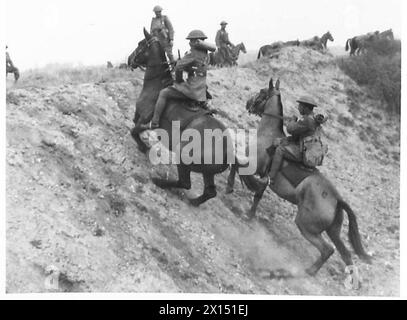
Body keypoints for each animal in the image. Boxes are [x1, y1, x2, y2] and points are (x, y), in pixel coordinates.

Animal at [129, 28, 234, 208]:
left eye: (141, 44)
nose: (130, 60)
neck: (157, 84)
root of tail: (229, 151)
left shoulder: (144, 119)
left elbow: (134, 131)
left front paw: (143, 146)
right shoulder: (139, 117)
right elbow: (134, 127)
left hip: (183, 158)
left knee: (185, 182)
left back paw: (160, 182)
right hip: (207, 172)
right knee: (210, 192)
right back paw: (194, 201)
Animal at [226, 78, 372, 278]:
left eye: (262, 92)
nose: (248, 103)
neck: (268, 134)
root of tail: (337, 199)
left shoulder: (252, 165)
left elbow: (235, 164)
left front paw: (230, 187)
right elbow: (258, 195)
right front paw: (249, 215)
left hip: (305, 225)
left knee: (327, 249)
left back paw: (305, 271)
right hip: (333, 231)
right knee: (345, 254)